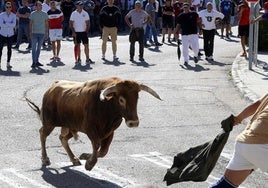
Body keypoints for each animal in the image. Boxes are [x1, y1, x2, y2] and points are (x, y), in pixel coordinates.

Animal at [25, 77, 160, 171]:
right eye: (121, 99)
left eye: (137, 98)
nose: (133, 122)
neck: (106, 106)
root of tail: (52, 87)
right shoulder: (91, 130)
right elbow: (96, 145)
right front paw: (89, 163)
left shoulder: (110, 132)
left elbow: (104, 151)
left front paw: (85, 156)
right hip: (49, 123)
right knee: (42, 134)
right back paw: (45, 159)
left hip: (71, 126)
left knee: (63, 138)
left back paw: (74, 159)